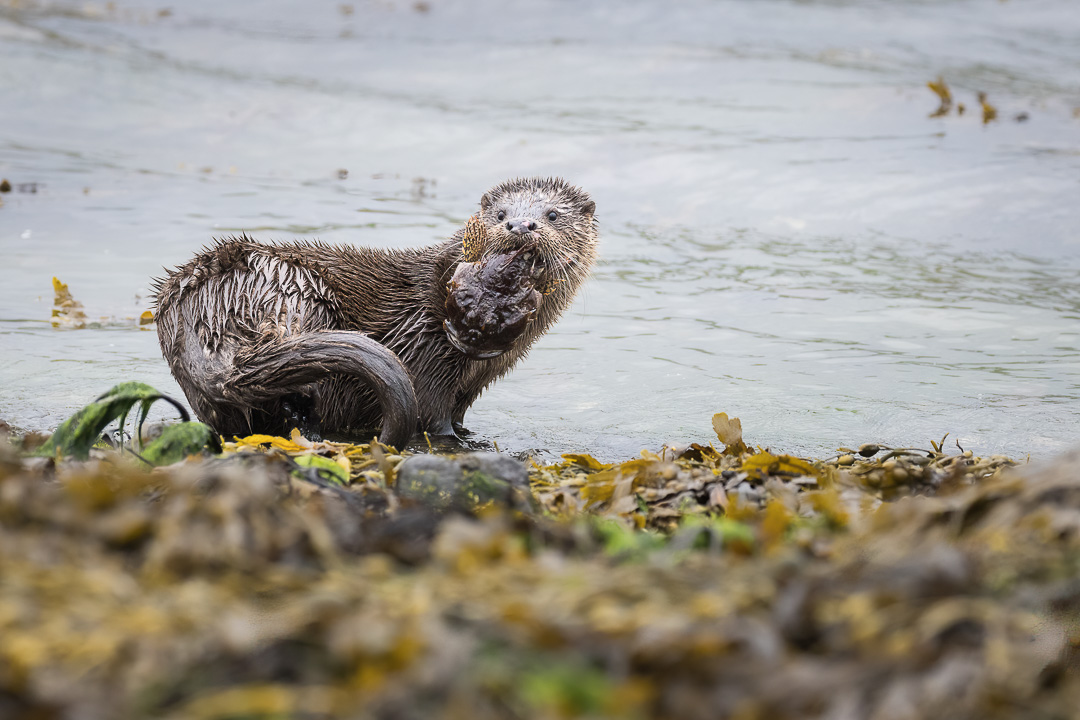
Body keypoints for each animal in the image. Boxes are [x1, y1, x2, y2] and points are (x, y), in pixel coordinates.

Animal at [153, 177, 598, 448]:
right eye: (501, 214)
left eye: (552, 215)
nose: (521, 226)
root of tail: (198, 320)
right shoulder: (427, 352)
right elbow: (432, 414)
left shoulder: (473, 385)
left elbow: (457, 414)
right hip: (291, 287)